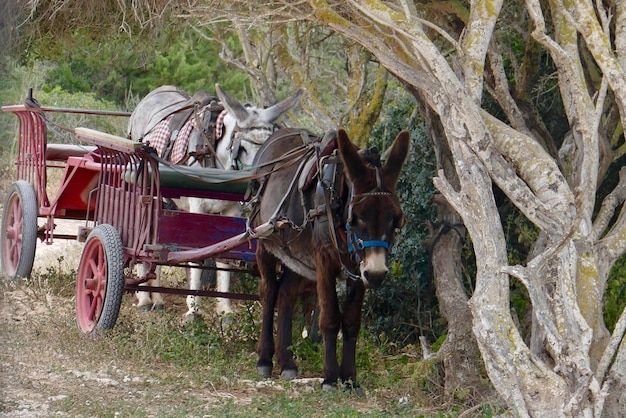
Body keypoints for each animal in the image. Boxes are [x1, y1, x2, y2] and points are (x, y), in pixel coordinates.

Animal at [127, 84, 302, 320]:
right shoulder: (197, 208)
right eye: (242, 148)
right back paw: (145, 299)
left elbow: (224, 255)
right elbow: (196, 257)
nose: (259, 184)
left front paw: (225, 310)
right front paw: (193, 310)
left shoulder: (231, 211)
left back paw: (158, 298)